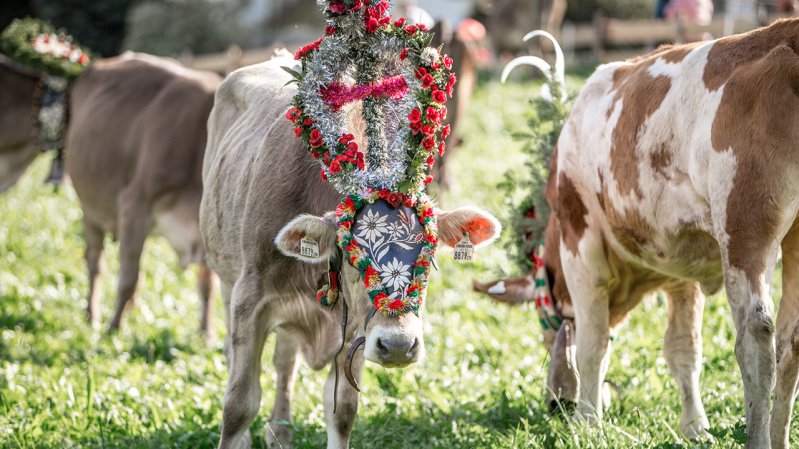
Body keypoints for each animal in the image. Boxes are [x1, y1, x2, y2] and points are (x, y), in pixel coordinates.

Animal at [200, 1, 500, 446]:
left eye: (428, 258)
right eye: (356, 260)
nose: (398, 345)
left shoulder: (354, 326)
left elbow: (341, 408)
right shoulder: (249, 297)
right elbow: (238, 403)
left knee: (285, 360)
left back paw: (280, 430)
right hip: (225, 277)